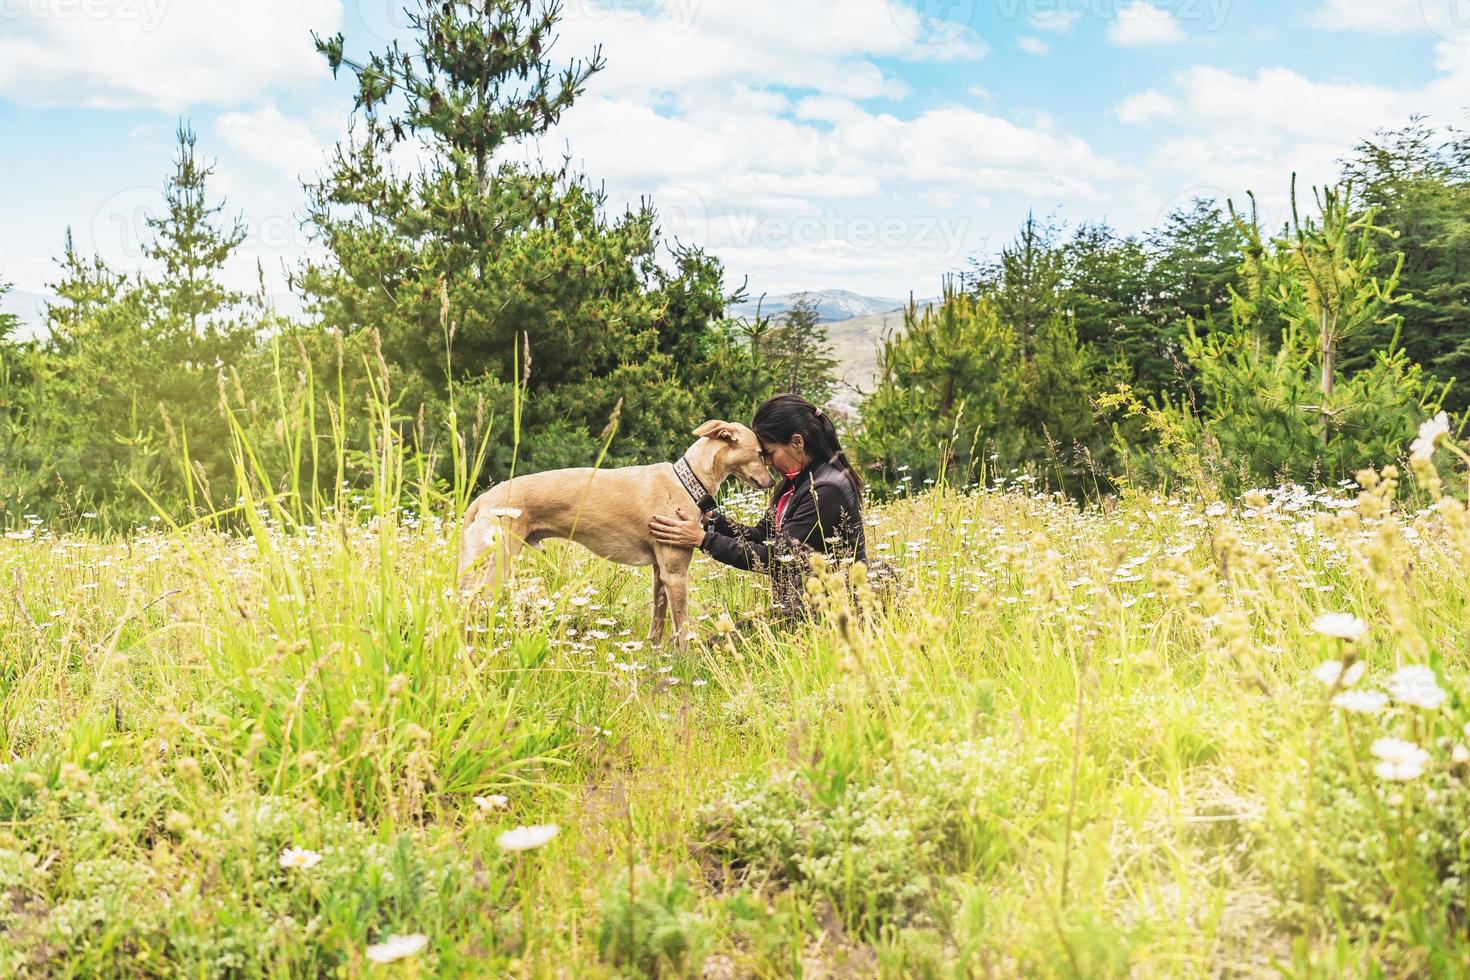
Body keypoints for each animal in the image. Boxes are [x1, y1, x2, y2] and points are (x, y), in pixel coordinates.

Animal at [455, 423, 776, 652]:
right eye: (761, 453)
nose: (773, 481)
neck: (687, 481)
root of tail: (482, 500)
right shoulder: (676, 573)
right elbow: (682, 626)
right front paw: (688, 659)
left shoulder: (661, 572)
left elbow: (659, 617)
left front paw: (655, 651)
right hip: (492, 569)